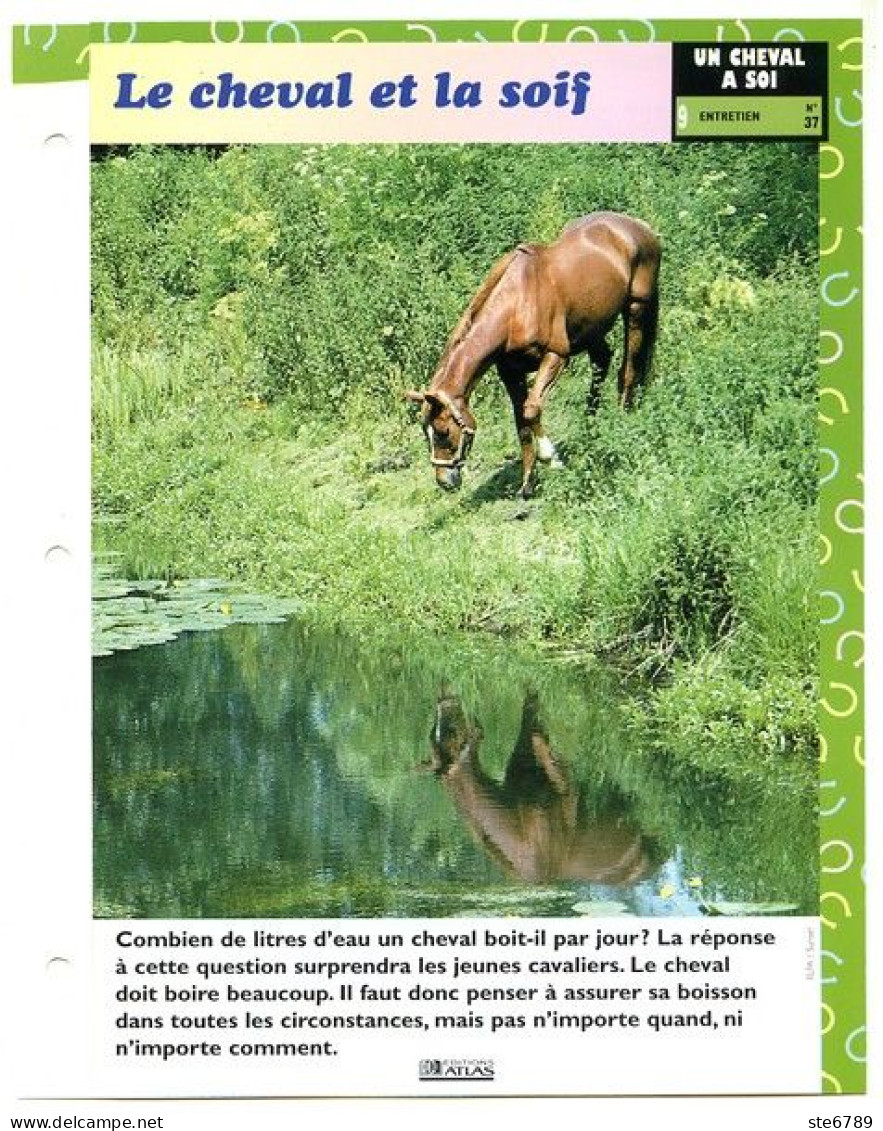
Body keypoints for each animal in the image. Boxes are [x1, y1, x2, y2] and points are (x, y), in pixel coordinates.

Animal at [402, 212, 655, 495]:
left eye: (443, 431)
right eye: (425, 433)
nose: (444, 482)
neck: (517, 305)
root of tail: (638, 227)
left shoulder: (556, 357)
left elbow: (531, 409)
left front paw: (551, 458)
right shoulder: (511, 373)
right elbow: (521, 424)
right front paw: (527, 484)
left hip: (636, 309)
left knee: (629, 369)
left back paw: (621, 417)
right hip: (592, 328)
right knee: (602, 361)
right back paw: (590, 427)